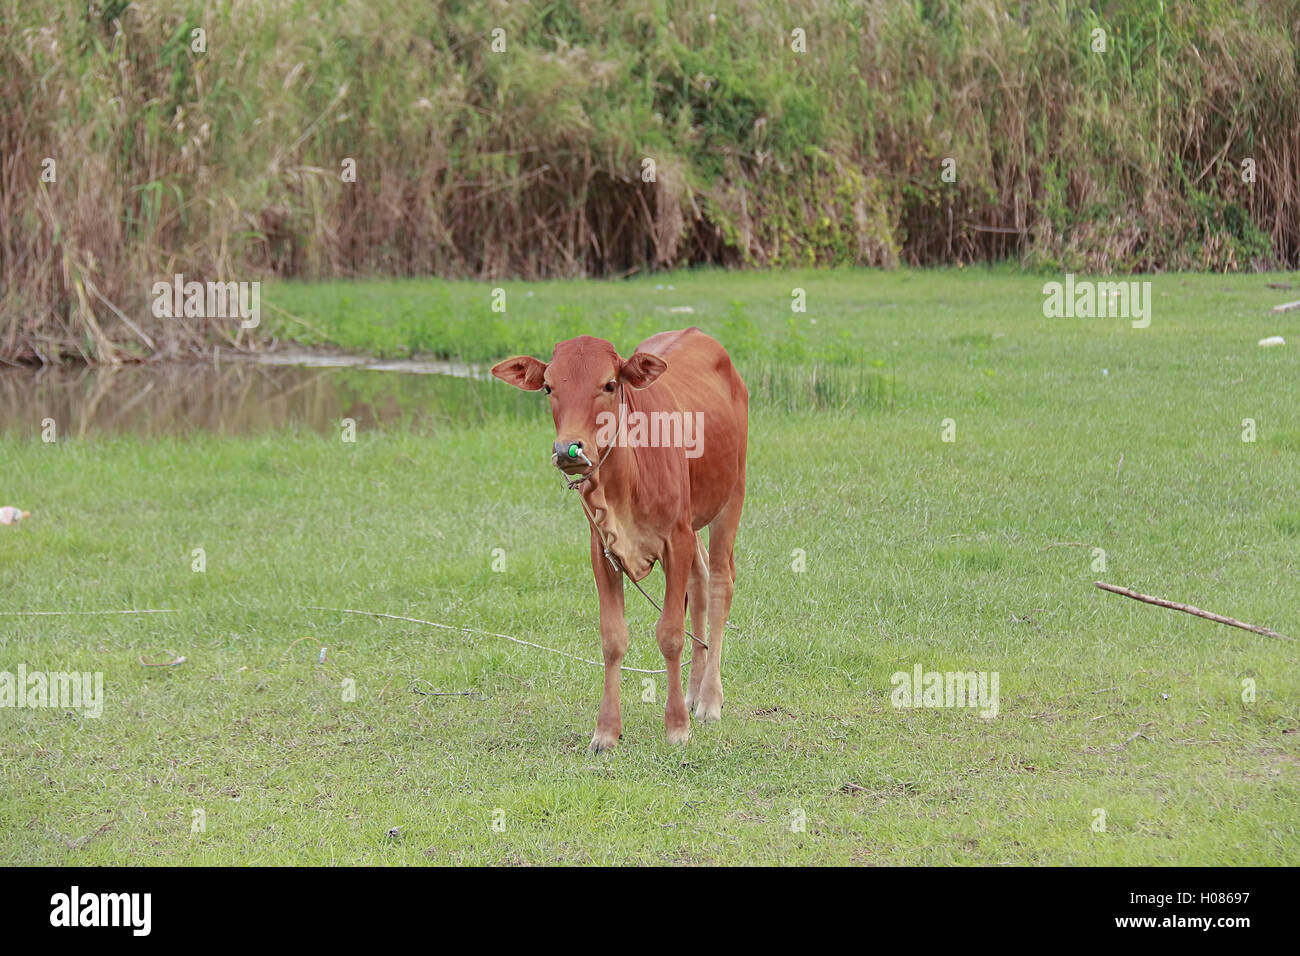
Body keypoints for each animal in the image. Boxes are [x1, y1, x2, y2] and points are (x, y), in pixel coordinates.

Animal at [492, 328, 748, 751]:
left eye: (610, 385)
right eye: (548, 387)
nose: (568, 449)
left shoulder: (675, 540)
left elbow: (670, 634)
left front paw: (676, 727)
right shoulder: (602, 550)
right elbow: (613, 639)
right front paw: (607, 731)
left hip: (730, 499)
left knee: (719, 586)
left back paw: (709, 699)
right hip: (694, 522)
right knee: (699, 581)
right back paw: (694, 692)